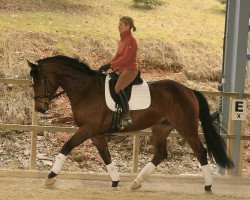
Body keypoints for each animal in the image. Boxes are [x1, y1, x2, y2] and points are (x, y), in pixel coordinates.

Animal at [28, 55, 233, 192]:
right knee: (160, 154)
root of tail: (189, 90)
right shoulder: (95, 133)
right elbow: (106, 156)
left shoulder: (87, 129)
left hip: (186, 128)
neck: (85, 90)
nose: (39, 108)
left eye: (38, 81)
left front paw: (50, 177)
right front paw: (115, 180)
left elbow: (67, 146)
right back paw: (137, 182)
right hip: (161, 127)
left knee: (200, 151)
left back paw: (208, 185)